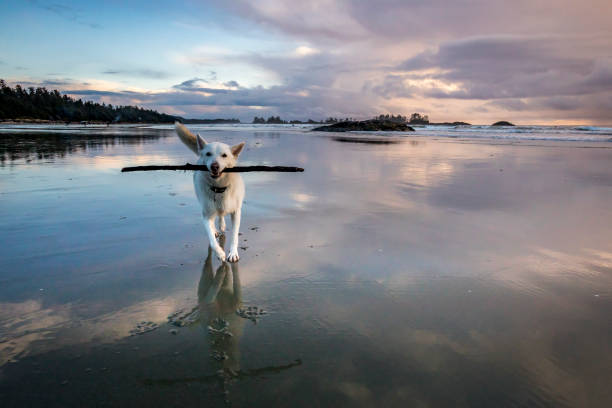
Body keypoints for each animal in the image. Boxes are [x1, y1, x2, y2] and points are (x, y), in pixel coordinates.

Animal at [176, 121, 245, 262]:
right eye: (208, 154)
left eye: (224, 155)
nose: (214, 166)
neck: (219, 188)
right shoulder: (206, 215)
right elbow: (212, 240)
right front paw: (219, 253)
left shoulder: (236, 212)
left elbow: (235, 235)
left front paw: (233, 253)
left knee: (221, 214)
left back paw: (222, 224)